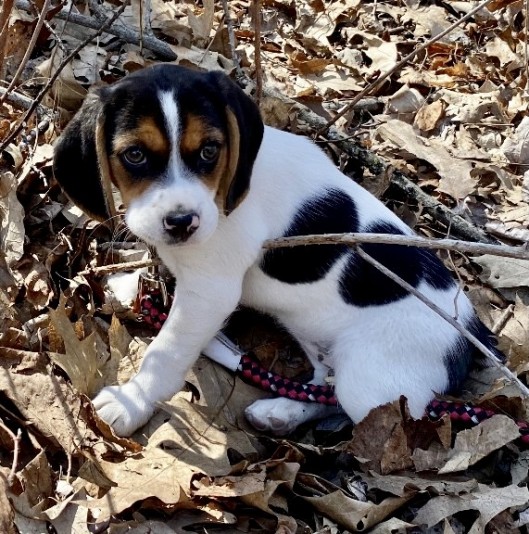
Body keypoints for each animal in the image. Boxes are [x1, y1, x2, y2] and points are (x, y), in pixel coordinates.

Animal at [53, 65, 500, 438]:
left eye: (210, 150)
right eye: (134, 155)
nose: (182, 222)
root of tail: (472, 331)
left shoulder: (209, 292)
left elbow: (166, 351)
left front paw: (133, 401)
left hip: (371, 378)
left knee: (359, 406)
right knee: (322, 387)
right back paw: (282, 411)